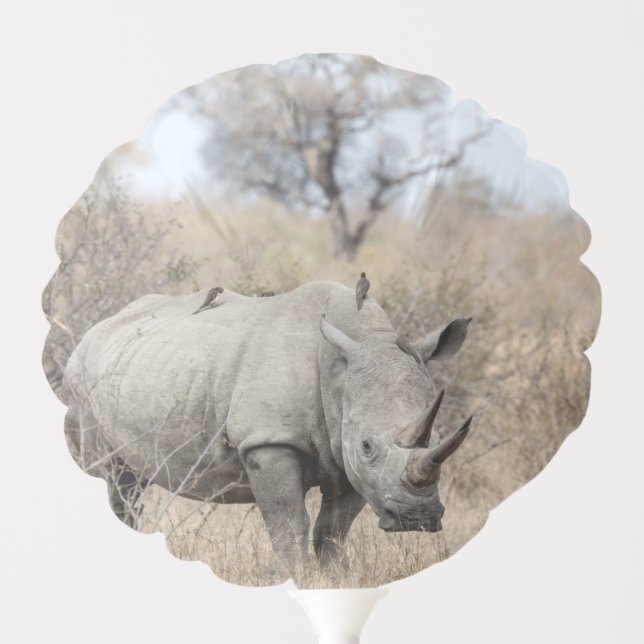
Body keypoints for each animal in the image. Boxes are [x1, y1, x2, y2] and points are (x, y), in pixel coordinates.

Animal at [63, 280, 472, 575]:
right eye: (368, 446)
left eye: (439, 438)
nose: (416, 519)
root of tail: (96, 329)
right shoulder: (269, 441)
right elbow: (289, 522)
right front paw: (294, 578)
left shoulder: (346, 457)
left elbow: (333, 530)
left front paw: (336, 579)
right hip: (81, 383)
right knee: (109, 476)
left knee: (130, 483)